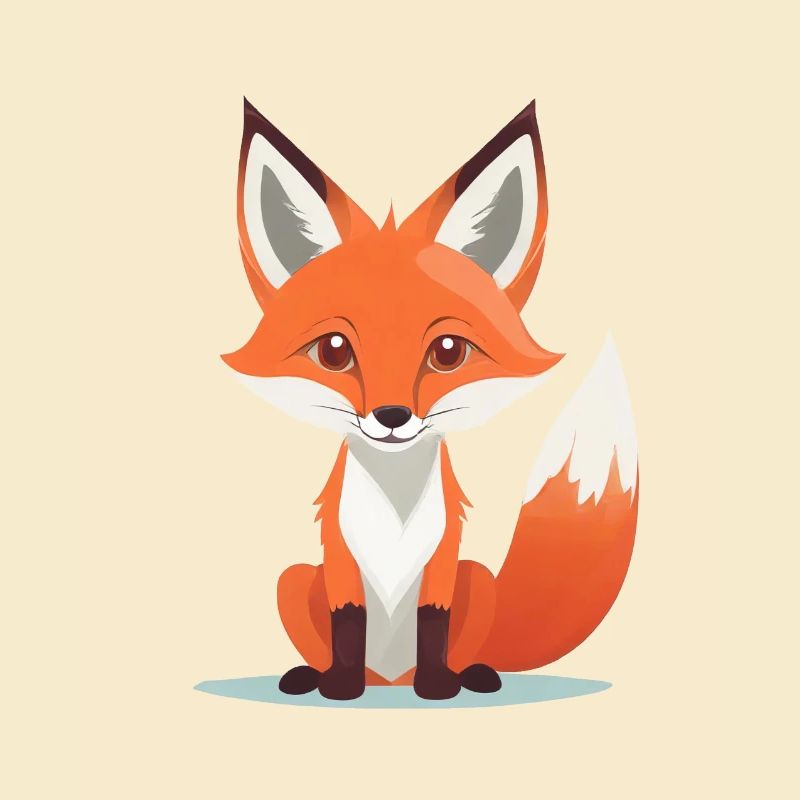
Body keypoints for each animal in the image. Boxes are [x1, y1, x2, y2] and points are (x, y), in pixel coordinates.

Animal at [222, 98, 639, 700]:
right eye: (333, 350)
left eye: (448, 351)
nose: (393, 416)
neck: (394, 511)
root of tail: (389, 678)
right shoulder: (339, 560)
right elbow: (348, 624)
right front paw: (341, 687)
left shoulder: (444, 561)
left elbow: (432, 624)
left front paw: (439, 686)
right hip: (292, 581)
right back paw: (315, 677)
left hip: (479, 579)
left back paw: (471, 676)